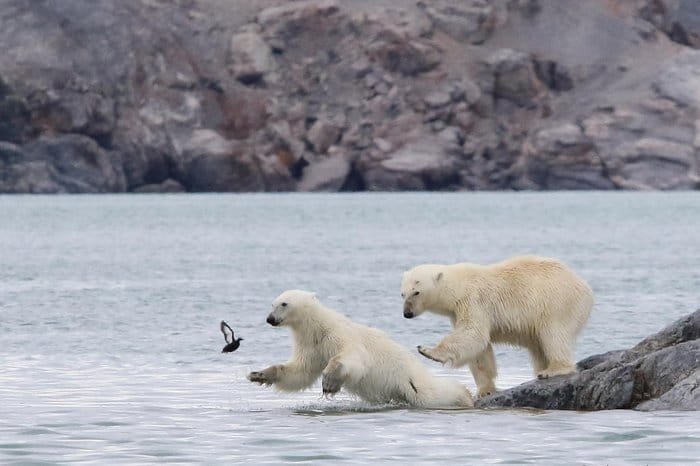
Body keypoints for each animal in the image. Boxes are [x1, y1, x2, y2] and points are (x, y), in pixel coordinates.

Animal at [247, 292, 476, 408]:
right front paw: (259, 374)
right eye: (272, 304)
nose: (270, 319)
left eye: (284, 304)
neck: (316, 327)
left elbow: (353, 358)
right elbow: (300, 372)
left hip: (411, 381)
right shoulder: (312, 346)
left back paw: (463, 395)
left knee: (433, 393)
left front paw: (329, 382)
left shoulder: (336, 334)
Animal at [402, 255, 592, 396]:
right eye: (403, 294)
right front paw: (484, 390)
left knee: (553, 334)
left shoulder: (474, 301)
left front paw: (428, 351)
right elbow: (480, 351)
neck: (459, 285)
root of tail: (584, 286)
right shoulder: (456, 312)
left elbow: (473, 333)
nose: (407, 314)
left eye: (416, 292)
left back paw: (553, 369)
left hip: (557, 302)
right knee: (538, 346)